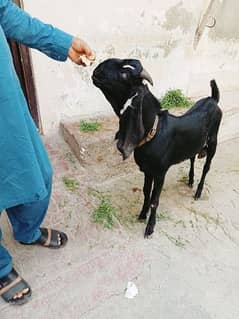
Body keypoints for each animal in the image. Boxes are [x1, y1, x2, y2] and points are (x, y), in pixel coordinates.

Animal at [92, 58, 223, 238]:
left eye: (124, 74)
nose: (97, 70)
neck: (154, 133)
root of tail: (213, 99)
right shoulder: (148, 170)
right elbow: (146, 192)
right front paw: (142, 214)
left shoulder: (161, 172)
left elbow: (155, 199)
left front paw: (150, 227)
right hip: (194, 144)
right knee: (191, 158)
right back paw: (190, 180)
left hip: (213, 142)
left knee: (206, 168)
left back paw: (198, 192)